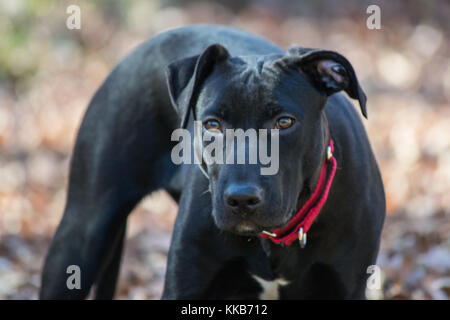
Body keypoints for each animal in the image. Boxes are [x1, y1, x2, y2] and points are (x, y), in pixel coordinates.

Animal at [39, 25, 384, 300]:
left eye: (284, 122)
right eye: (212, 125)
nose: (242, 199)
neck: (274, 238)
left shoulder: (346, 287)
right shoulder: (186, 284)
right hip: (81, 234)